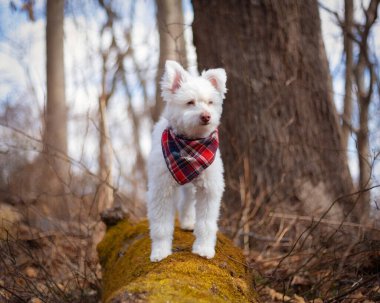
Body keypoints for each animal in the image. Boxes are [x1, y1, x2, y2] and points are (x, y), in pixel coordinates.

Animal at [148, 60, 226, 262]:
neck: (192, 145)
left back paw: (189, 222)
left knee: (188, 201)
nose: (206, 115)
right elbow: (161, 226)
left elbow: (206, 224)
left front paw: (204, 249)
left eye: (210, 102)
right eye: (190, 102)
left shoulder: (209, 189)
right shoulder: (162, 189)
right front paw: (160, 252)